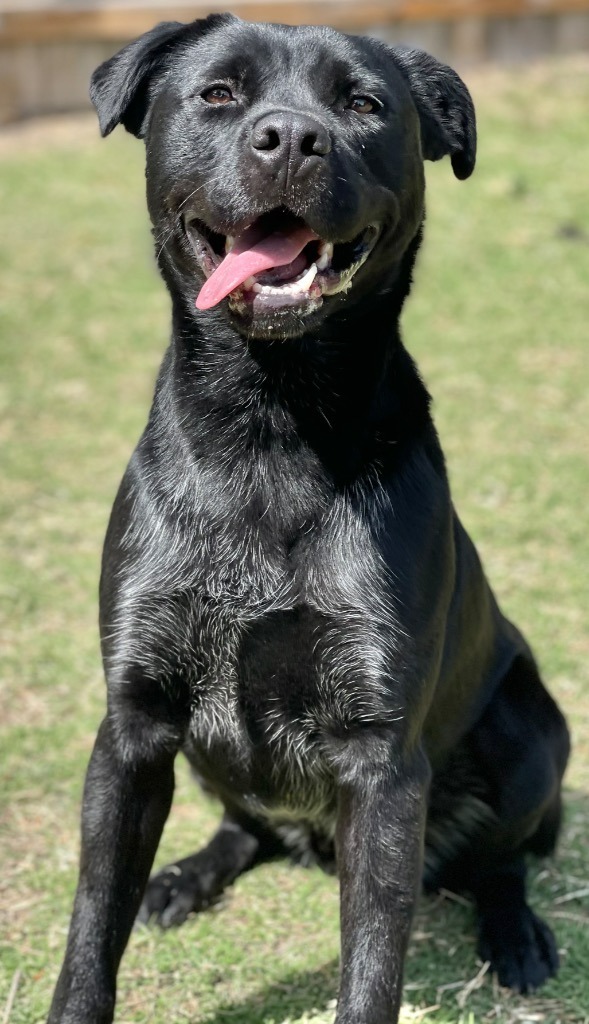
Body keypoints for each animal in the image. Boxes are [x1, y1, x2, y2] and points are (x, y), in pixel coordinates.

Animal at [48, 16, 569, 1024]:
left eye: (362, 104)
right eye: (217, 93)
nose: (290, 138)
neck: (269, 429)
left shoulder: (380, 758)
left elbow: (371, 961)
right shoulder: (132, 728)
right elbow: (92, 923)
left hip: (531, 733)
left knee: (498, 862)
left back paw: (515, 933)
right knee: (242, 826)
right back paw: (184, 877)